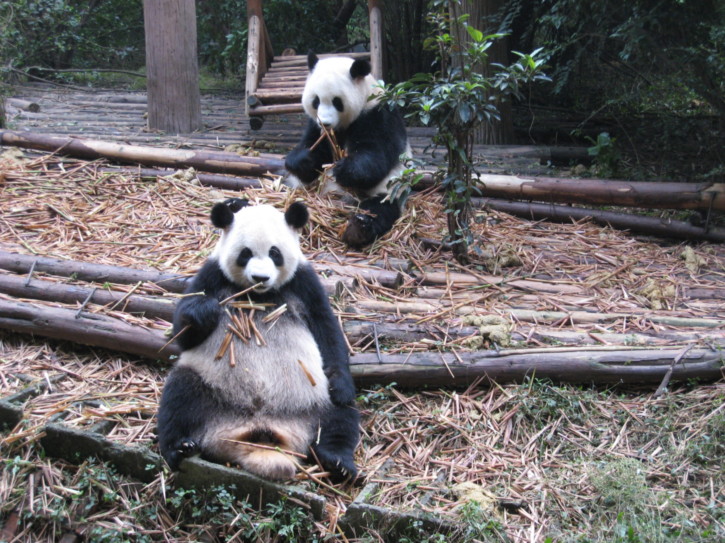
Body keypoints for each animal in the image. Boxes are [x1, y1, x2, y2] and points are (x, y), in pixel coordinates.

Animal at [157, 198, 359, 482]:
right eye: (246, 254)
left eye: (275, 253)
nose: (260, 278)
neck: (258, 296)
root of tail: (260, 435)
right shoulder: (212, 275)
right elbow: (182, 334)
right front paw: (204, 310)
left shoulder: (304, 283)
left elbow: (326, 329)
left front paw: (340, 384)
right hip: (209, 387)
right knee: (179, 396)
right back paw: (180, 448)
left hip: (315, 396)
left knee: (339, 416)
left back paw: (338, 460)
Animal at [285, 53, 411, 249]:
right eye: (316, 101)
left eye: (337, 102)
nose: (326, 123)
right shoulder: (316, 127)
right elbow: (314, 153)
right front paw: (300, 160)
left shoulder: (378, 116)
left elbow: (376, 156)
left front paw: (344, 169)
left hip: (390, 188)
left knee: (380, 206)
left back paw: (358, 228)